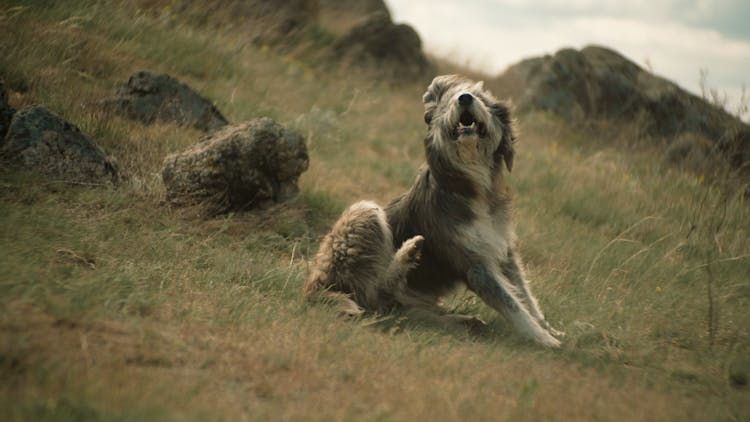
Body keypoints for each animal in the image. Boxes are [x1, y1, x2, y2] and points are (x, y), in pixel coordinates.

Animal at [306, 75, 564, 346]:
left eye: (481, 98)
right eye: (448, 101)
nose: (464, 98)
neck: (472, 187)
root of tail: (315, 287)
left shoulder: (505, 252)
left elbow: (525, 296)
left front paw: (550, 329)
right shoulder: (474, 265)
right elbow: (512, 303)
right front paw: (546, 340)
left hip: (409, 302)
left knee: (390, 303)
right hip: (363, 212)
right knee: (372, 296)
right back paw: (408, 252)